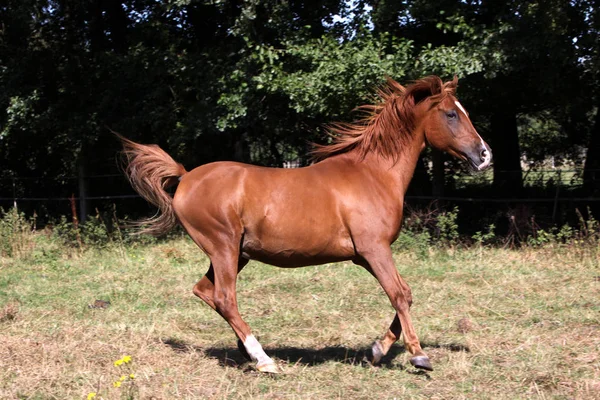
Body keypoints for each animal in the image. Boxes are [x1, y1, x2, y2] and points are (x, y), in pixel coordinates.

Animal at [118, 76, 492, 374]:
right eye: (451, 114)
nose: (485, 155)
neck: (374, 174)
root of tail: (184, 178)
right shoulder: (374, 249)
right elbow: (399, 295)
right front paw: (419, 356)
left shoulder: (366, 255)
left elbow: (406, 295)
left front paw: (375, 351)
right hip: (223, 247)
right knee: (224, 297)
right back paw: (264, 360)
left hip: (236, 254)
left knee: (205, 291)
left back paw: (247, 352)